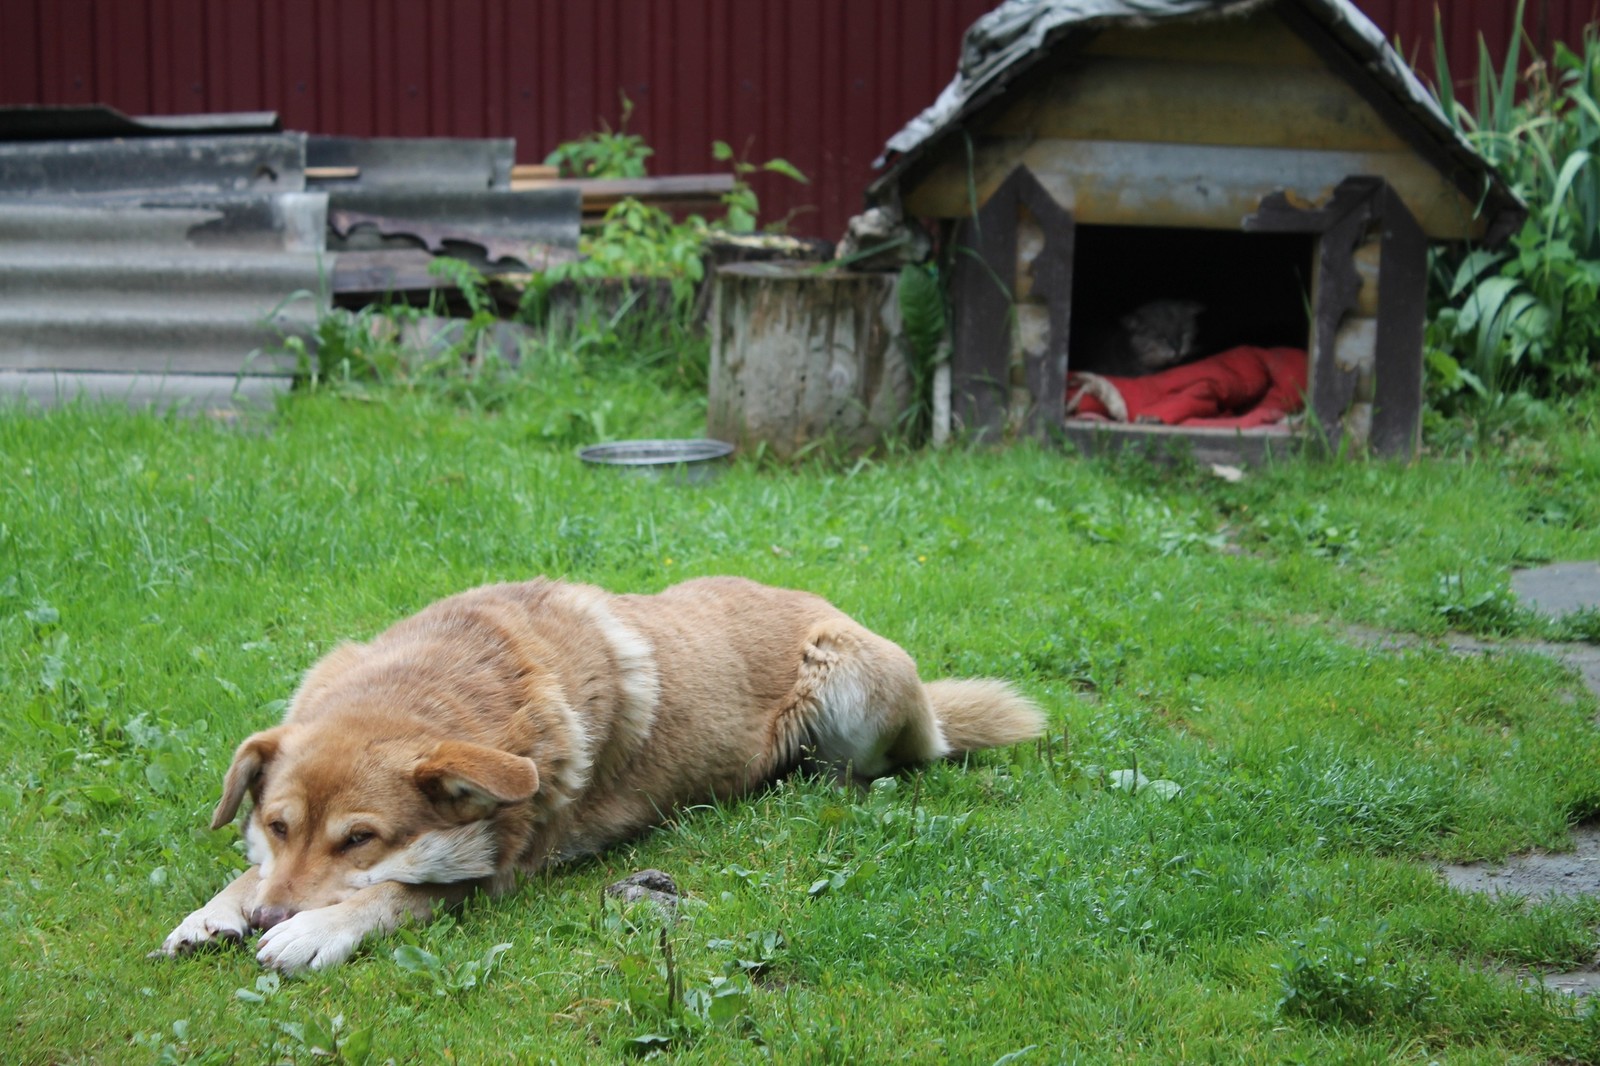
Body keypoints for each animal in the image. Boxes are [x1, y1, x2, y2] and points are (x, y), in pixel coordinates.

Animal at [156, 576, 1043, 966]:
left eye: (360, 840)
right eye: (277, 825)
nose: (269, 920)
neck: (442, 679)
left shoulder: (499, 873)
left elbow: (400, 895)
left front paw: (312, 931)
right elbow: (248, 873)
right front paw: (217, 911)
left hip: (853, 687)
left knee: (869, 772)